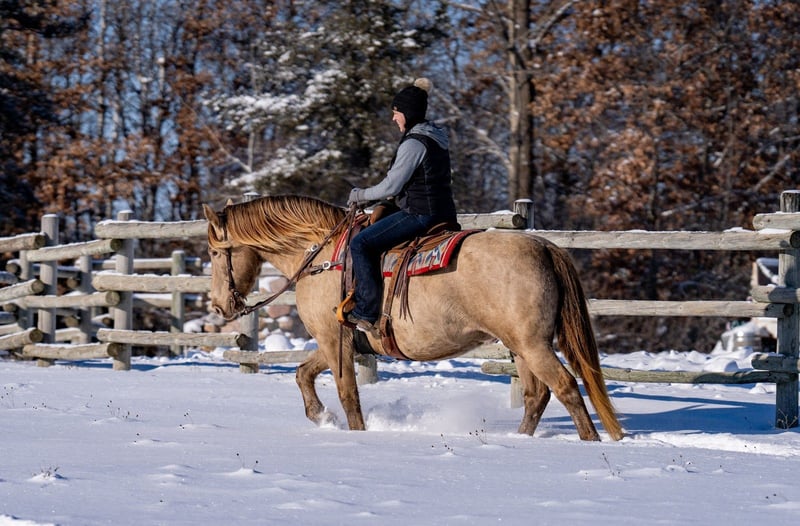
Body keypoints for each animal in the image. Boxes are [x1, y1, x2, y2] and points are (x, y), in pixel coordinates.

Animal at [203, 195, 623, 441]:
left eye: (213, 252)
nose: (220, 306)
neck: (320, 254)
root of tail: (543, 246)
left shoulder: (333, 339)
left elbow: (348, 393)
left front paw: (355, 434)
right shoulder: (339, 339)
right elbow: (303, 373)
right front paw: (320, 417)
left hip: (533, 345)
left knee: (566, 387)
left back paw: (591, 442)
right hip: (519, 347)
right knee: (538, 396)